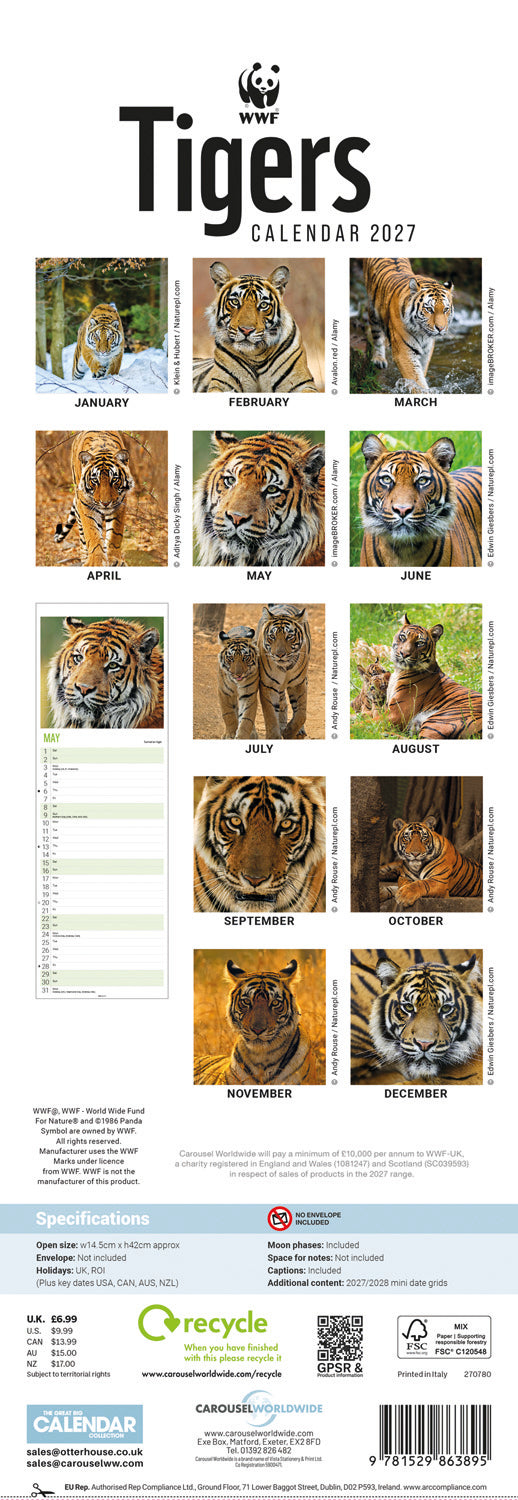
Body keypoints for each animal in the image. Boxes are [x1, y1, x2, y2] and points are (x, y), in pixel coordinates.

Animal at [54, 432, 134, 567]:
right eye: (95, 480)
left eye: (114, 479)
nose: (105, 503)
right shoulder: (85, 505)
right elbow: (92, 533)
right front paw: (95, 561)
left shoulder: (120, 503)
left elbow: (115, 534)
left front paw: (114, 559)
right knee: (82, 537)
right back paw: (85, 558)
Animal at [193, 263, 316, 393]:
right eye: (235, 302)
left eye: (263, 305)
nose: (246, 330)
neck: (256, 355)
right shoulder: (222, 384)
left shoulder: (302, 384)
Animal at [257, 605, 311, 739]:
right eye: (272, 636)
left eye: (289, 636)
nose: (279, 655)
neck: (285, 668)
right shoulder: (268, 685)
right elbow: (270, 715)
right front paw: (274, 736)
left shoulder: (298, 684)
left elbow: (301, 714)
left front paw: (289, 732)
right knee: (282, 704)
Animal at [363, 258, 454, 393]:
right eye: (429, 309)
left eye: (445, 309)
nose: (441, 328)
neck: (423, 333)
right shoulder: (404, 352)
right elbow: (416, 379)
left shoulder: (427, 351)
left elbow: (422, 371)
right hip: (373, 311)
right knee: (377, 336)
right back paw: (379, 360)